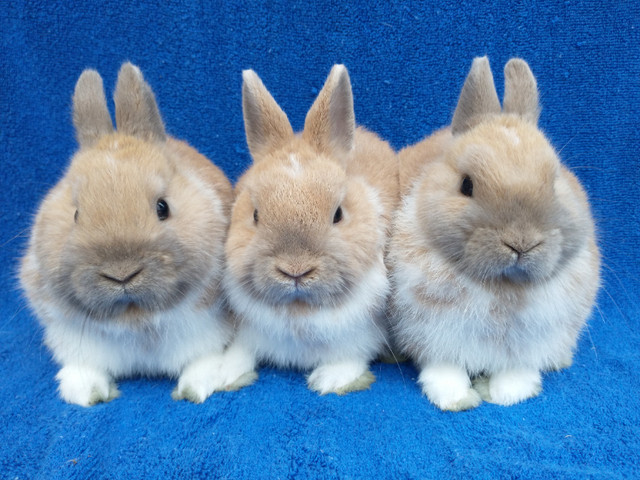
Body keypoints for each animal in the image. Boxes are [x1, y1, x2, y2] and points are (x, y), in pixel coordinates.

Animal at [18, 62, 236, 406]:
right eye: (76, 214)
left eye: (162, 207)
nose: (121, 274)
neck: (134, 318)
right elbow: (84, 366)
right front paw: (87, 393)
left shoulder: (207, 329)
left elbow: (202, 360)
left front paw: (194, 388)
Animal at [192, 63, 398, 396]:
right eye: (255, 215)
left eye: (338, 215)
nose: (295, 271)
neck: (299, 310)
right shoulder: (250, 332)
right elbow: (240, 352)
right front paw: (222, 374)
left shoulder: (362, 335)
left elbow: (351, 356)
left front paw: (329, 379)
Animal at [388, 55, 604, 408]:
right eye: (466, 185)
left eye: (555, 181)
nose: (521, 243)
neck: (503, 287)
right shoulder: (432, 333)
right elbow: (443, 367)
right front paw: (455, 398)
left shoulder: (533, 342)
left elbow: (518, 370)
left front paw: (506, 394)